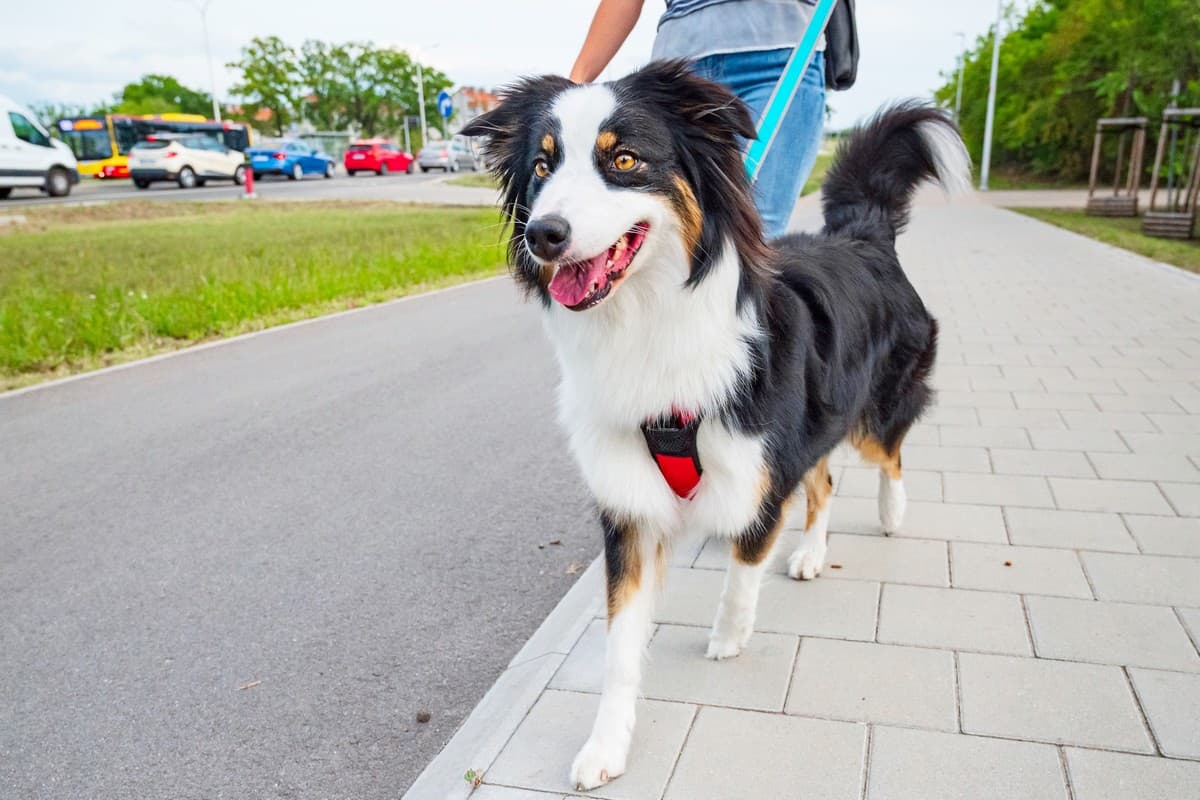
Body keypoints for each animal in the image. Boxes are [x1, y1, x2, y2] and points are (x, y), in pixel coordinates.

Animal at [463, 59, 969, 791]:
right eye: (541, 167)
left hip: (868, 413)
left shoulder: (758, 472)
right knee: (823, 485)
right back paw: (812, 553)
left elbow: (741, 568)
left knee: (889, 454)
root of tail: (860, 234)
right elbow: (619, 646)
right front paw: (606, 746)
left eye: (623, 159)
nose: (544, 235)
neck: (648, 325)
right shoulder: (630, 508)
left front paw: (729, 638)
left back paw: (891, 513)